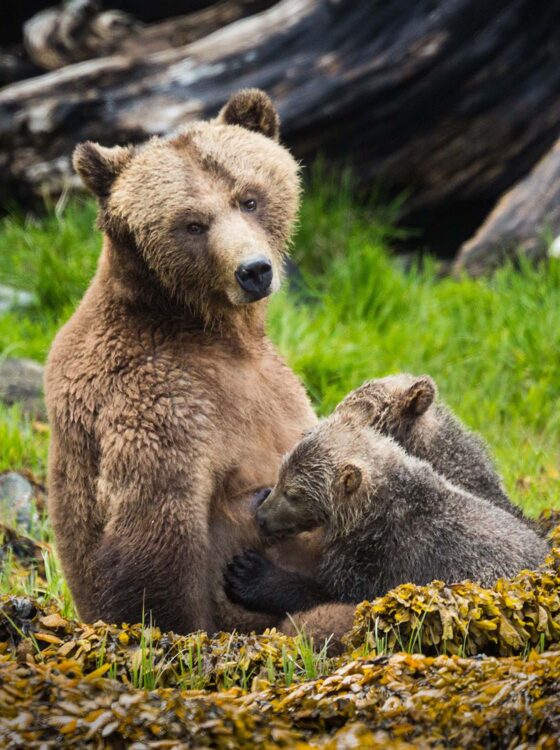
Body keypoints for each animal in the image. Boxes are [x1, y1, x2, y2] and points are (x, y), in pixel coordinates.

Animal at [224, 388, 548, 616]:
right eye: (281, 476)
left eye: (294, 494)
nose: (262, 516)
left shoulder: (384, 556)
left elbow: (336, 595)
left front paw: (249, 573)